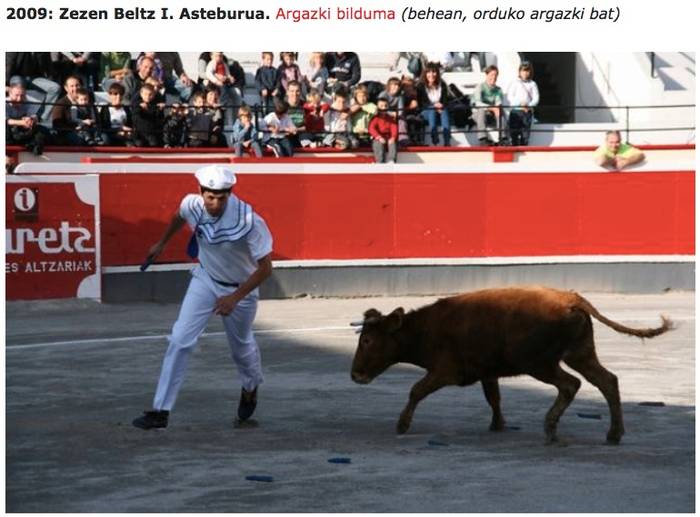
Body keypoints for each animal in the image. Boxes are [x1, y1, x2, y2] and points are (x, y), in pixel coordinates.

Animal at [350, 286, 672, 444]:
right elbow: (493, 397)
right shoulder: (486, 372)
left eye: (367, 340)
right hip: (580, 354)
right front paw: (498, 424)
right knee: (607, 381)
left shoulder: (446, 371)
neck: (425, 329)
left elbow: (416, 390)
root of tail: (572, 299)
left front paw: (402, 425)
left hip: (539, 363)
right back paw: (613, 434)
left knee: (571, 384)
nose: (355, 374)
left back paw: (551, 429)